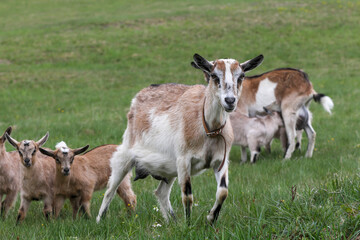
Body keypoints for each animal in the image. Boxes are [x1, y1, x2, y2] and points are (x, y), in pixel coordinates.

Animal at [95, 53, 264, 224]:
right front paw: (188, 225)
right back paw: (99, 220)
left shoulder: (221, 160)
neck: (207, 128)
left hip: (168, 167)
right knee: (110, 189)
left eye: (241, 76)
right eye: (214, 75)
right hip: (126, 153)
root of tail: (139, 96)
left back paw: (173, 222)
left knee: (161, 192)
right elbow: (187, 196)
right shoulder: (183, 159)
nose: (230, 101)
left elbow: (223, 192)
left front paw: (211, 218)